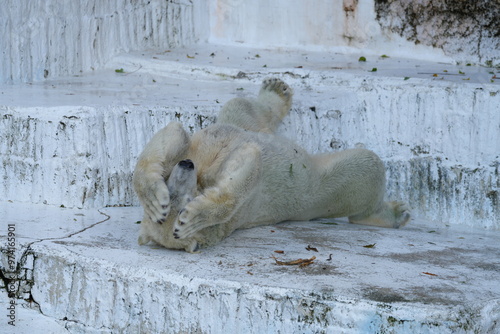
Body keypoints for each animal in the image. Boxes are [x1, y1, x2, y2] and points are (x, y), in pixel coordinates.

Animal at [134, 77, 410, 252]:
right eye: (184, 201)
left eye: (173, 191)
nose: (187, 165)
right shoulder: (240, 205)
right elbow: (249, 163)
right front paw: (196, 216)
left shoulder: (198, 151)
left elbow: (174, 134)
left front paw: (153, 196)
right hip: (319, 190)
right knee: (365, 170)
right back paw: (391, 213)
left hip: (242, 126)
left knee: (238, 108)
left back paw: (275, 90)